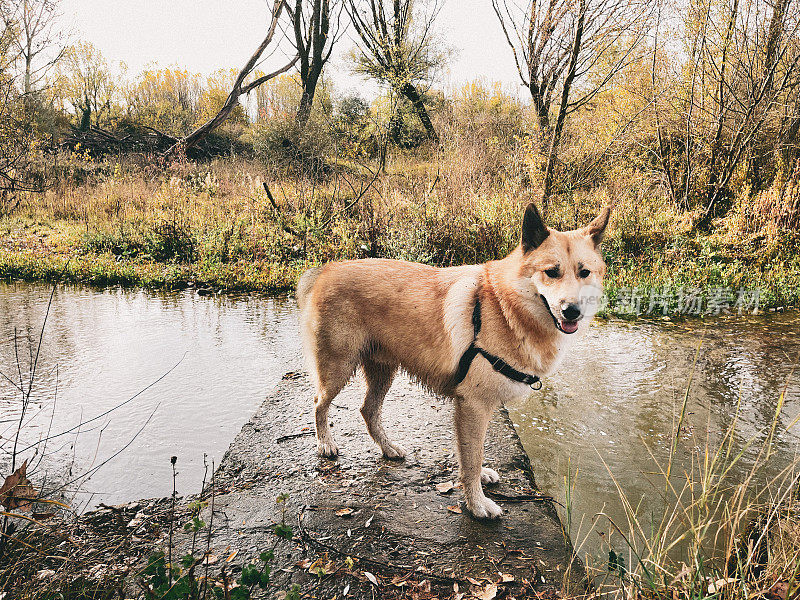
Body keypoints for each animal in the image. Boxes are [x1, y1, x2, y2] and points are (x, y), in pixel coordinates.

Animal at [296, 204, 608, 516]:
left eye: (584, 272)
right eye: (551, 272)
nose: (572, 311)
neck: (505, 306)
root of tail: (326, 270)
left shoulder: (474, 408)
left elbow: (471, 451)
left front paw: (479, 481)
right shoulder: (473, 405)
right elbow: (472, 457)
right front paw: (477, 503)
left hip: (383, 371)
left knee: (368, 411)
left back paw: (388, 448)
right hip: (338, 367)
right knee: (319, 402)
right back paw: (325, 443)